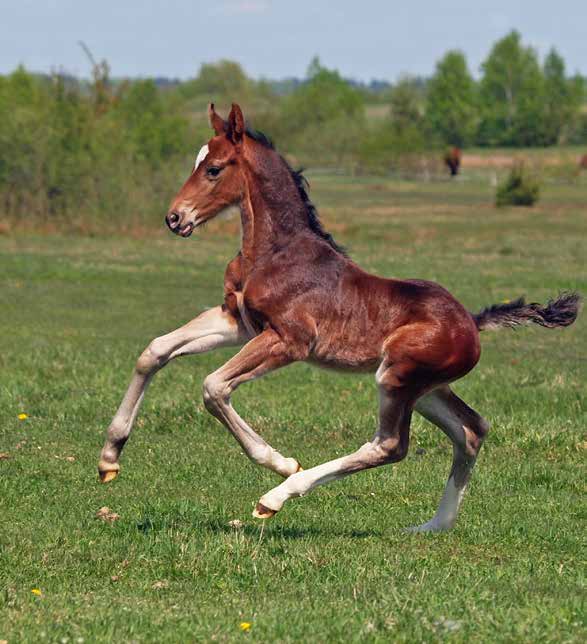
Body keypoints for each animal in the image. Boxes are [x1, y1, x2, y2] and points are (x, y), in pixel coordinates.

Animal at [99, 103, 580, 532]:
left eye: (214, 168)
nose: (174, 217)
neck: (273, 252)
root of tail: (472, 323)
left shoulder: (288, 341)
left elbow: (213, 387)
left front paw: (280, 462)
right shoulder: (237, 322)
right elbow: (155, 350)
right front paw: (109, 457)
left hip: (396, 377)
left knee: (390, 446)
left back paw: (278, 496)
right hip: (426, 389)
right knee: (471, 430)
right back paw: (433, 526)